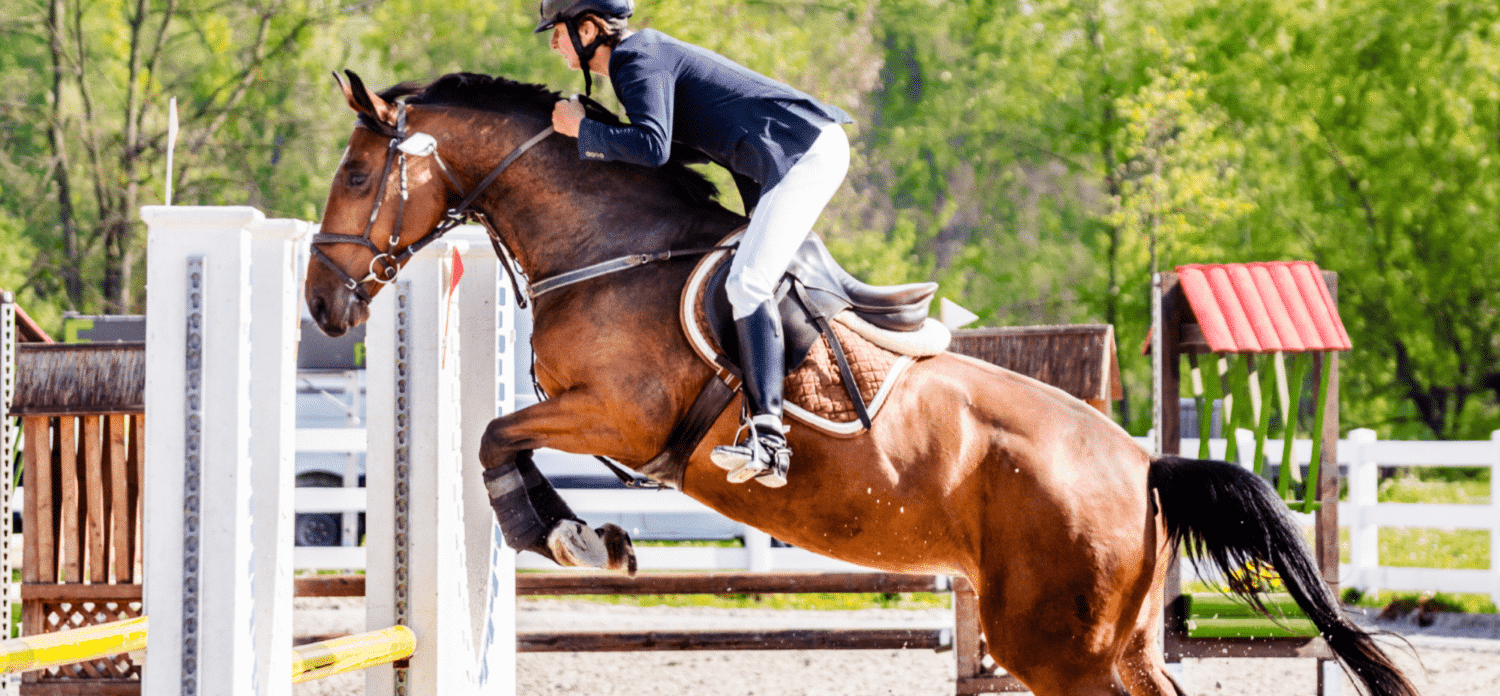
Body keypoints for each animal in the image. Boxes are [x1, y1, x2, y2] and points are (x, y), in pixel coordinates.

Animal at [307, 72, 1416, 696]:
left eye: (357, 178)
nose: (322, 308)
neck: (609, 247)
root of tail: (1144, 464)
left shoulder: (618, 416)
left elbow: (497, 436)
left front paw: (573, 537)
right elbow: (501, 435)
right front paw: (584, 536)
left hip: (1058, 648)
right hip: (1117, 646)